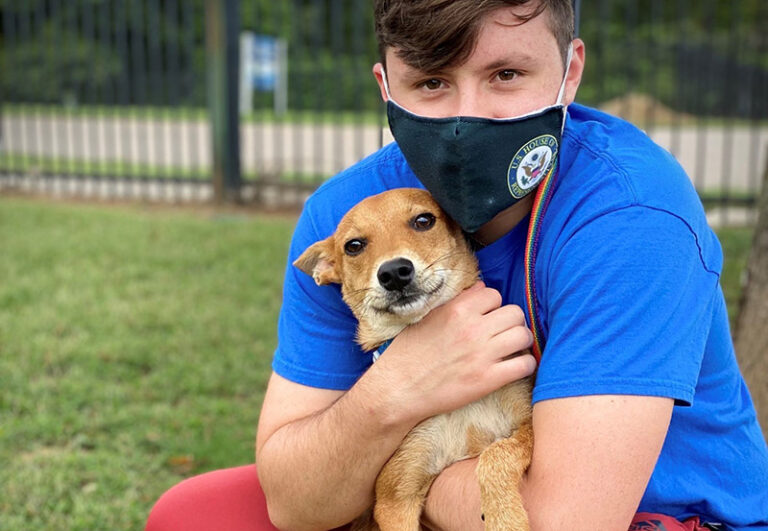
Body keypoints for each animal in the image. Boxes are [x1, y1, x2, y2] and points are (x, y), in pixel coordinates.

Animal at [294, 189, 536, 528]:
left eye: (423, 220)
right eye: (353, 246)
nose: (394, 272)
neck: (461, 408)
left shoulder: (527, 426)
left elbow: (496, 454)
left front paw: (505, 517)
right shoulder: (396, 496)